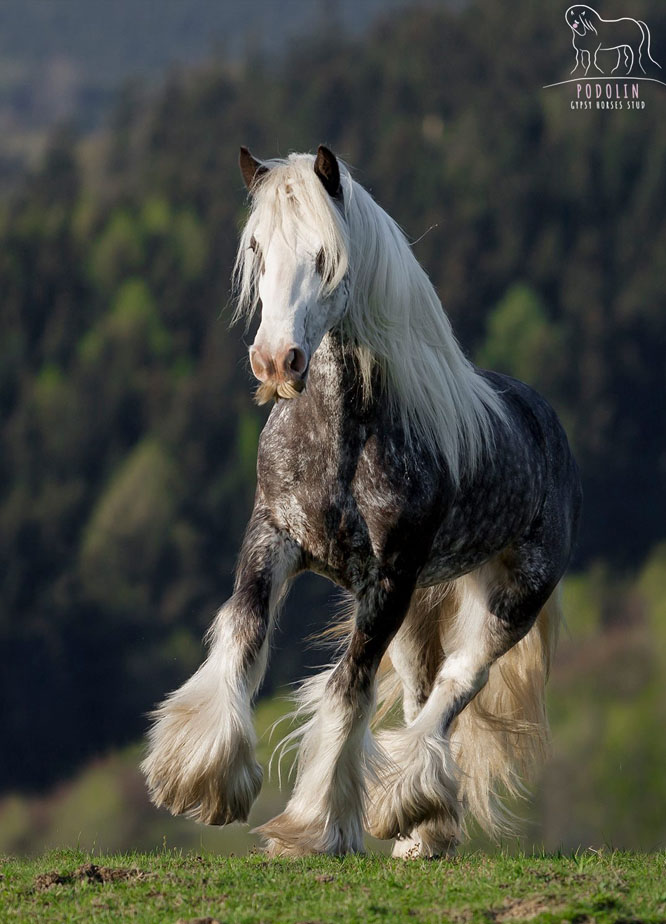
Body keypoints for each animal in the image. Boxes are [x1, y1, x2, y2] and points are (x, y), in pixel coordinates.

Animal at [141, 146, 580, 860]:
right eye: (257, 249)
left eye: (326, 256)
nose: (276, 362)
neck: (342, 438)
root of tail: (547, 421)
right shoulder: (272, 536)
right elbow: (242, 633)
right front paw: (197, 778)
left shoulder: (388, 578)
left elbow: (348, 687)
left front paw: (314, 825)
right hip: (421, 607)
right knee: (423, 688)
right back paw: (420, 831)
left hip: (508, 599)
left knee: (456, 686)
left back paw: (405, 809)